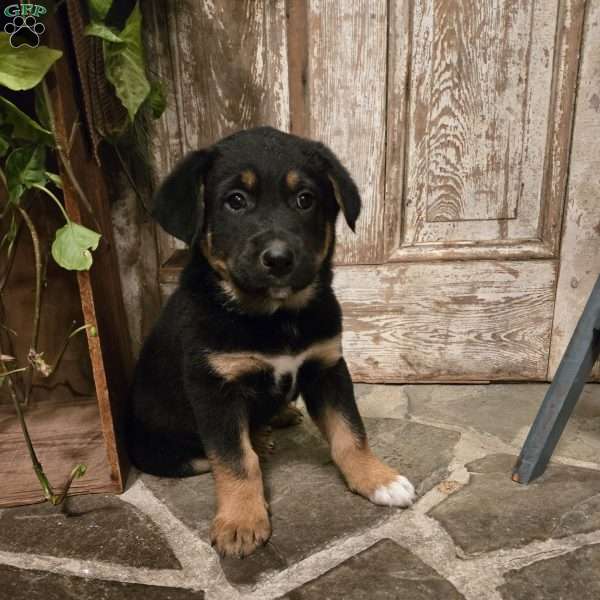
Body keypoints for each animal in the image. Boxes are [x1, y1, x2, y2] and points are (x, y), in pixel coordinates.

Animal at [129, 126, 414, 556]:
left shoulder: (328, 367)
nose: (279, 259)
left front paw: (377, 478)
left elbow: (350, 432)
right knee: (205, 457)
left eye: (305, 199)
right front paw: (241, 521)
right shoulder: (214, 387)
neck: (278, 318)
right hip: (162, 447)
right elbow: (234, 459)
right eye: (235, 200)